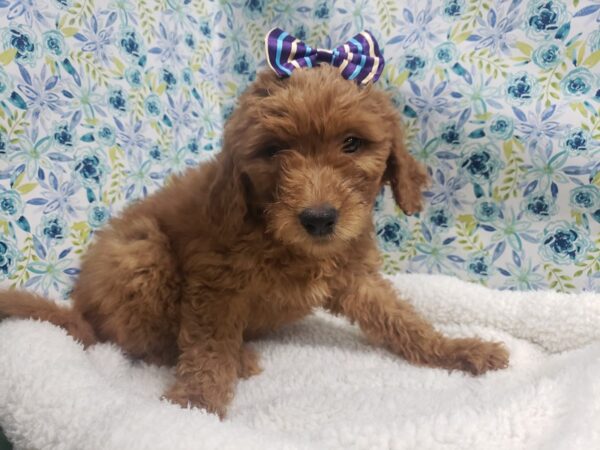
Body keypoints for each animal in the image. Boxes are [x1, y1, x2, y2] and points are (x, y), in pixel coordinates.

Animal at [0, 64, 506, 418]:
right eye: (274, 150)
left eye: (352, 143)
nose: (319, 218)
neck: (279, 235)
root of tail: (79, 309)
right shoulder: (214, 286)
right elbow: (205, 348)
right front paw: (196, 403)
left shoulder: (355, 276)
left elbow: (402, 321)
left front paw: (458, 350)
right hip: (140, 251)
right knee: (146, 342)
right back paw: (236, 358)